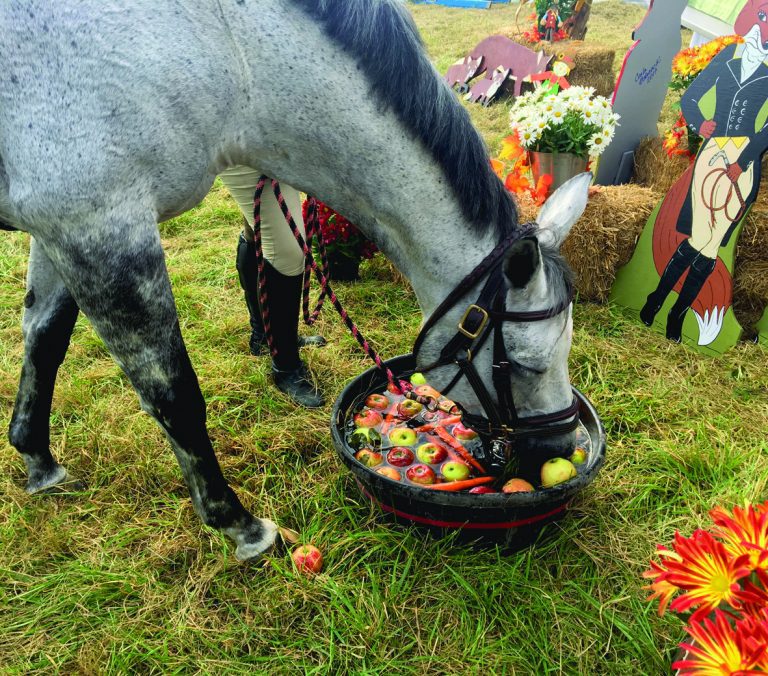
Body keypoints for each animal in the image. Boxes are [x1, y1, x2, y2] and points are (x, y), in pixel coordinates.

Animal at [0, 0, 590, 561]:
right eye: (527, 364)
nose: (561, 448)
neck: (225, 48)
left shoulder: (59, 231)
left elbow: (45, 341)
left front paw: (38, 461)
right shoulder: (100, 229)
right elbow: (174, 396)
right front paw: (242, 528)